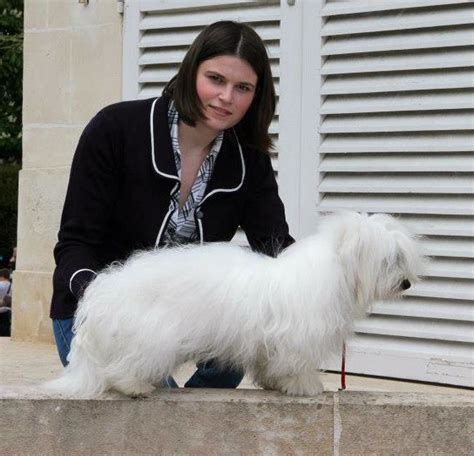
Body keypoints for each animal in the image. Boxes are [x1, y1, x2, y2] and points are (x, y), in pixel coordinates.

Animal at [45, 212, 422, 398]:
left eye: (401, 258)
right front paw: (305, 387)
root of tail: (104, 292)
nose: (405, 283)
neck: (333, 271)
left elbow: (271, 366)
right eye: (389, 260)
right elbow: (296, 365)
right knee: (123, 367)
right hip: (151, 337)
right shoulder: (297, 337)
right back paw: (134, 387)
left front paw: (275, 384)